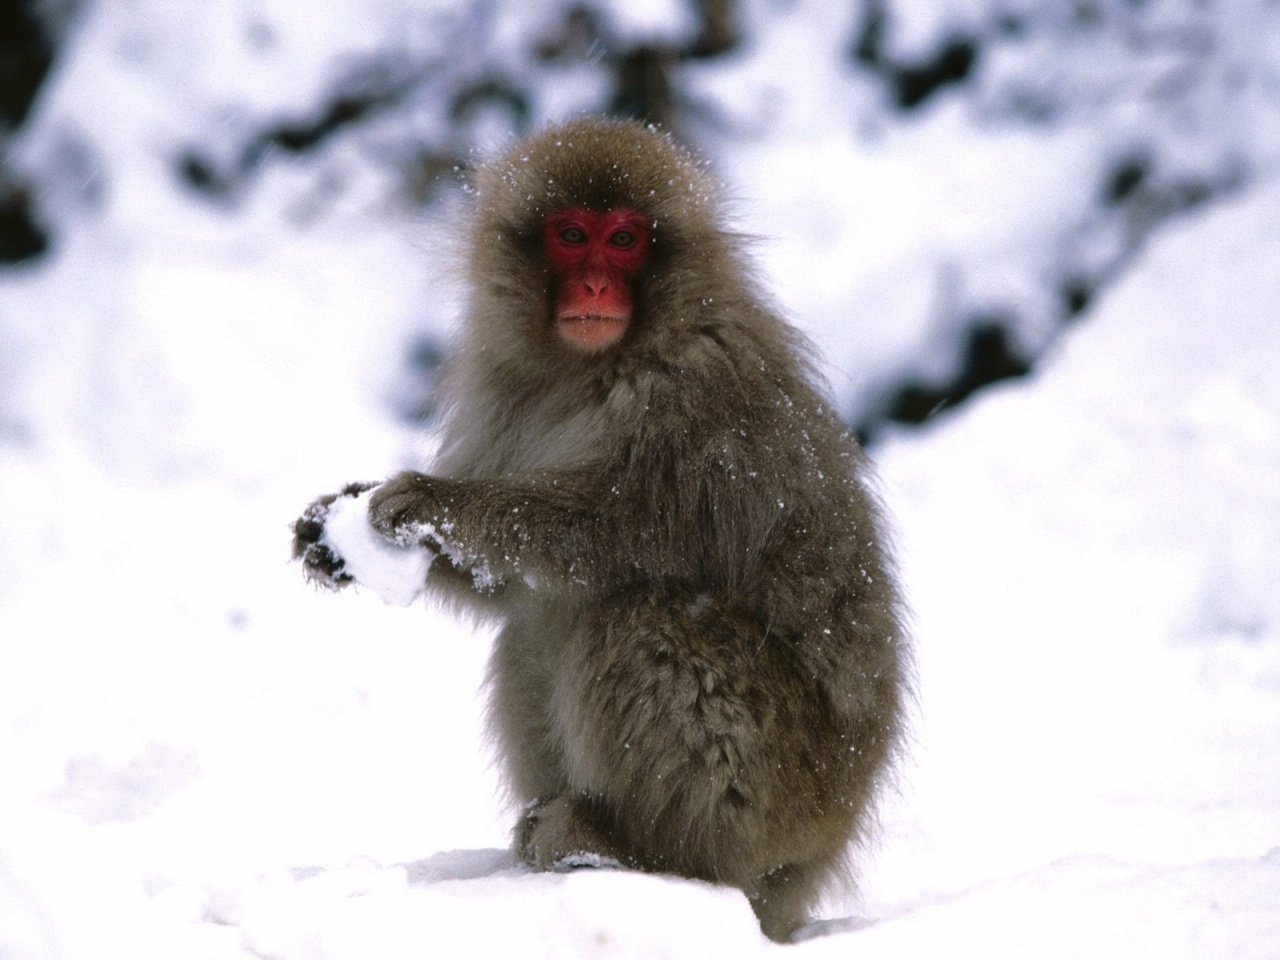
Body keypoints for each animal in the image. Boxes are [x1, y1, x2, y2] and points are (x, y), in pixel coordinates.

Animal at [293, 120, 911, 947]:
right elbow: (507, 586)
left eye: (623, 240)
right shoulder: (503, 389)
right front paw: (335, 529)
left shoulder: (691, 410)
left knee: (638, 613)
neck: (588, 370)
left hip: (773, 795)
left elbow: (598, 533)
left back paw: (640, 852)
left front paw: (430, 502)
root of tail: (818, 857)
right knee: (532, 629)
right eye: (571, 235)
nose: (593, 287)